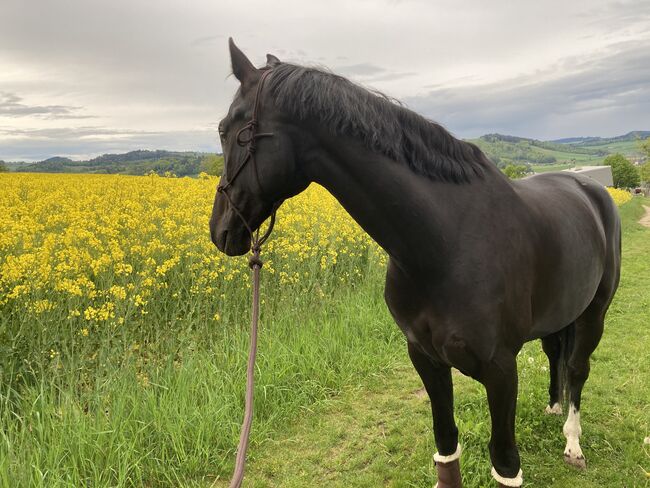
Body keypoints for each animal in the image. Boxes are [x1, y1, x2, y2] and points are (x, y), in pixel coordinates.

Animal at [210, 40, 620, 486]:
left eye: (225, 129)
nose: (220, 230)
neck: (444, 246)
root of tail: (589, 188)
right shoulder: (425, 359)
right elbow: (446, 446)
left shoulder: (500, 370)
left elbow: (505, 462)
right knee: (554, 354)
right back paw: (552, 406)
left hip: (594, 314)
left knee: (577, 370)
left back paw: (573, 444)